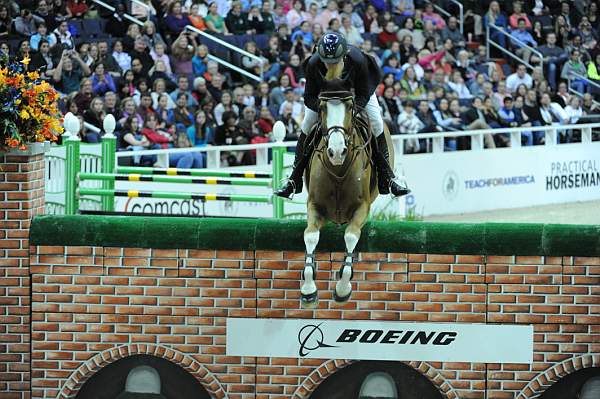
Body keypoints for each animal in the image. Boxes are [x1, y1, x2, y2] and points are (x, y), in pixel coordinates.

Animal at [300, 91, 394, 310]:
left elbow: (351, 236)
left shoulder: (362, 208)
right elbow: (311, 236)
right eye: (322, 108)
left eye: (350, 107)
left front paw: (343, 288)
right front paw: (309, 289)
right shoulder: (314, 206)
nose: (336, 152)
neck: (338, 168)